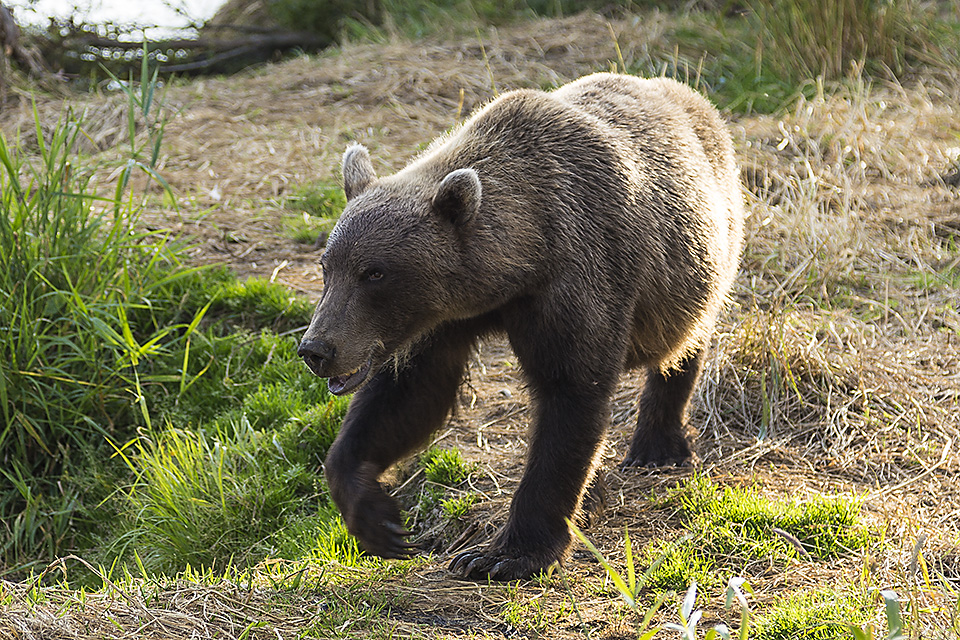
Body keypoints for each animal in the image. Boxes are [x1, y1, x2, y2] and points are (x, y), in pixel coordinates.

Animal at [298, 72, 744, 581]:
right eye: (328, 267)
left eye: (374, 273)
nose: (317, 348)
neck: (519, 262)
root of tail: (689, 94)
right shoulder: (443, 319)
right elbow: (408, 395)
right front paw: (379, 520)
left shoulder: (579, 274)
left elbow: (569, 395)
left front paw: (503, 554)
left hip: (699, 265)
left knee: (682, 348)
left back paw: (658, 446)